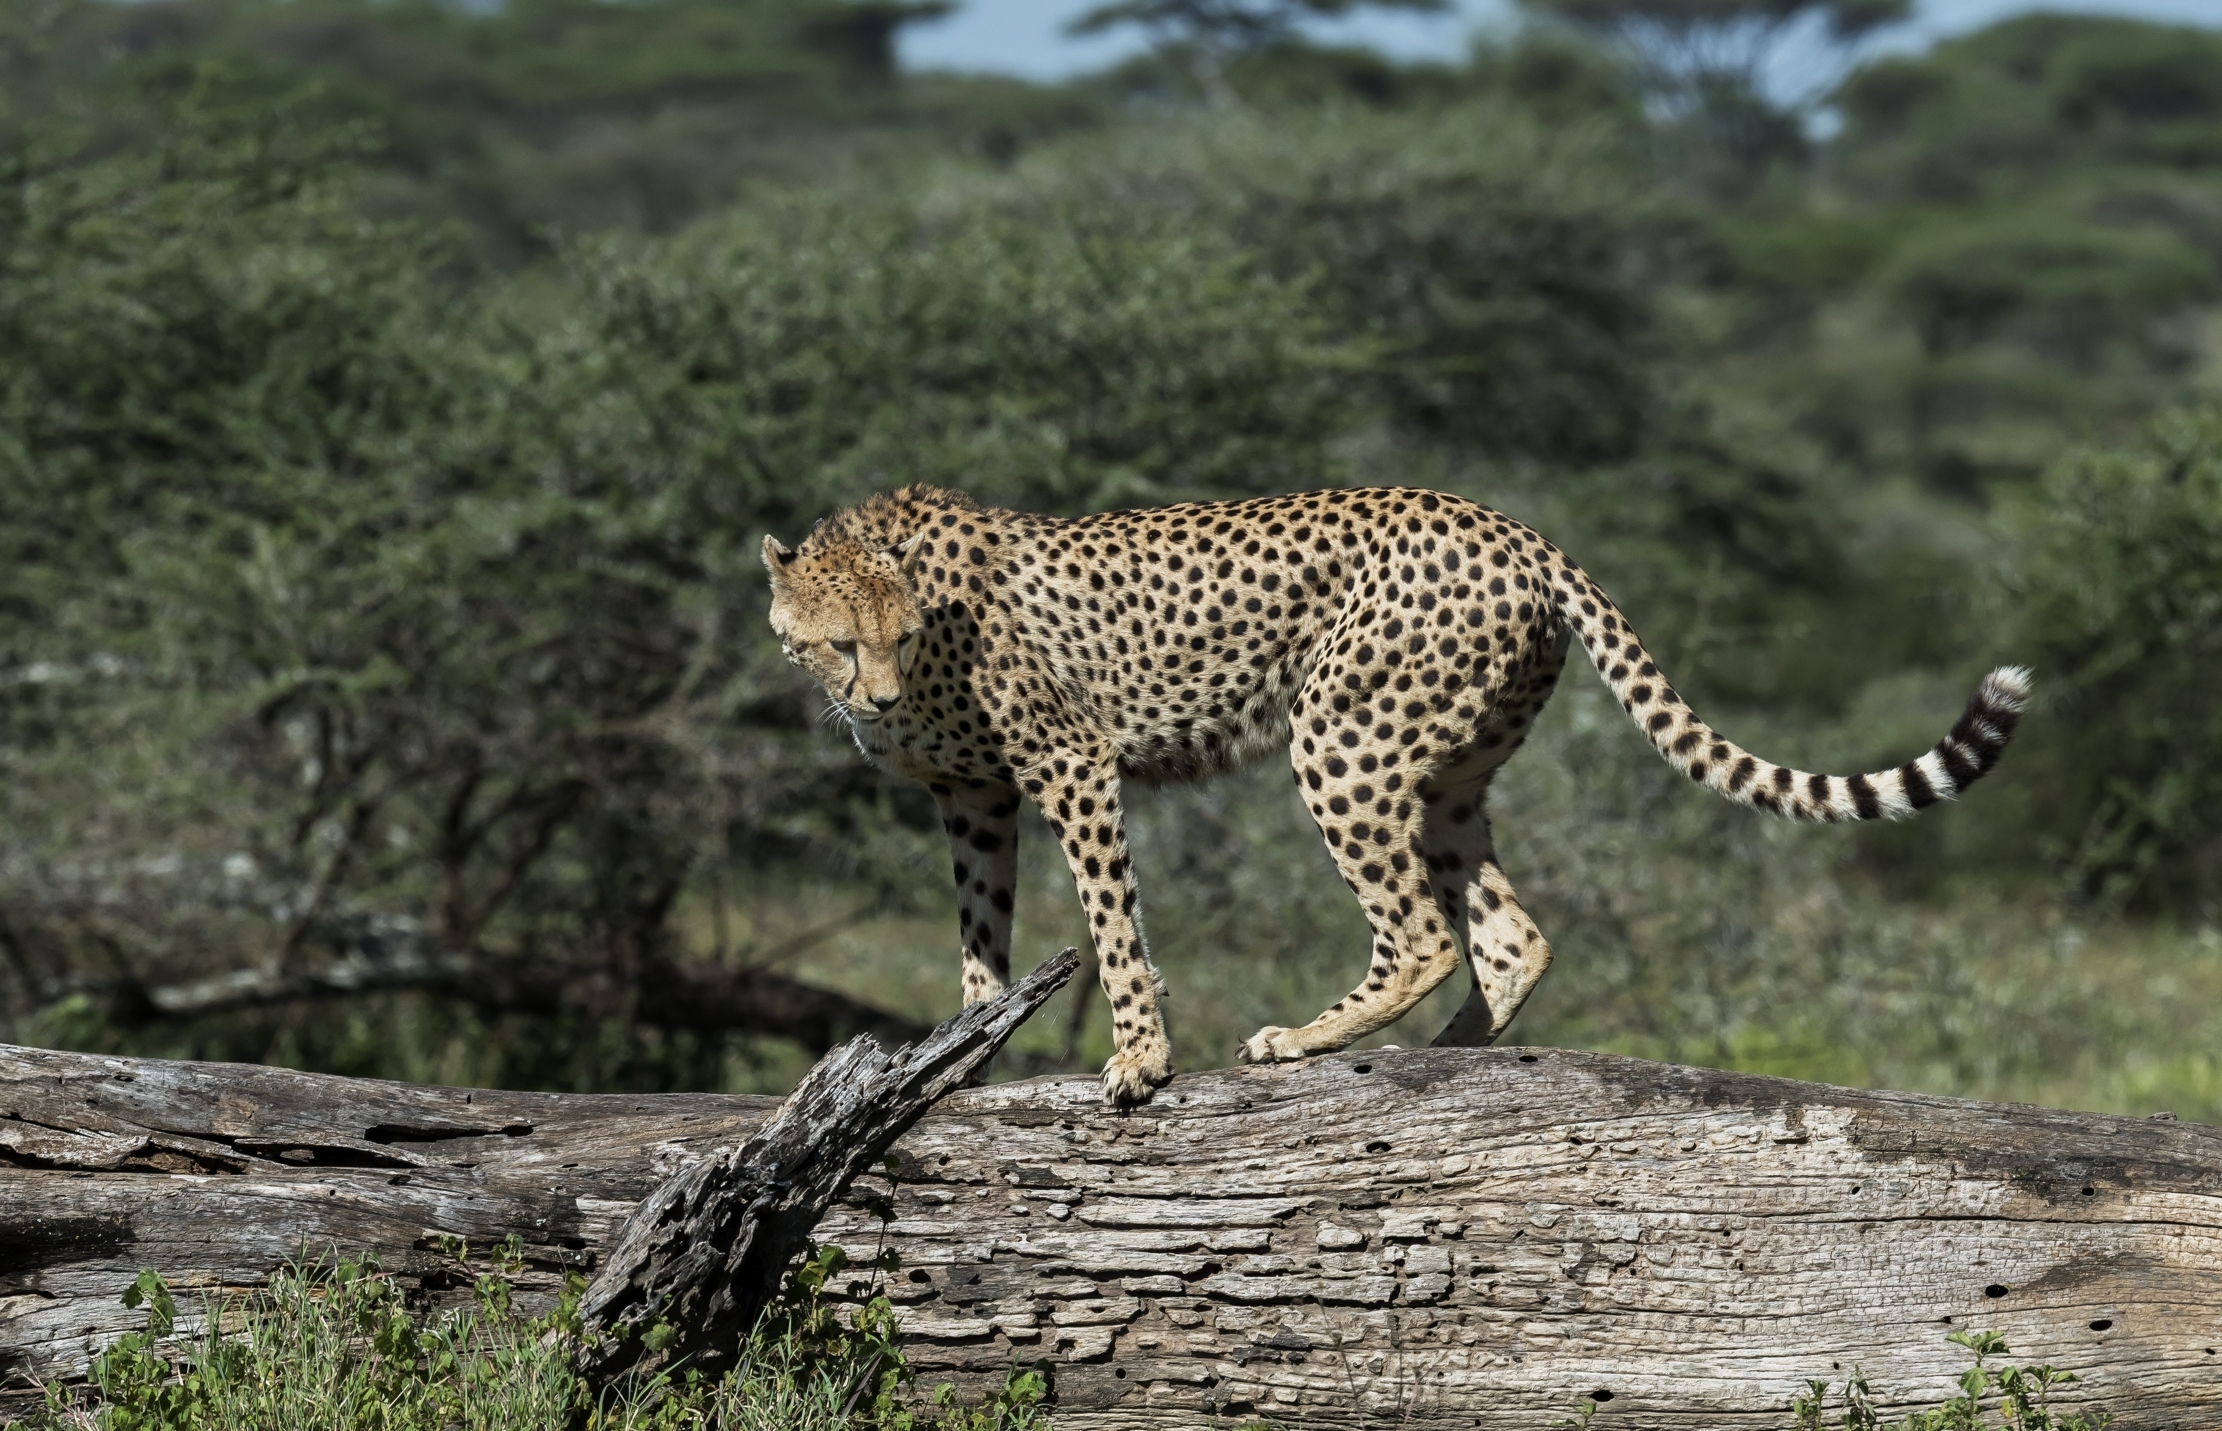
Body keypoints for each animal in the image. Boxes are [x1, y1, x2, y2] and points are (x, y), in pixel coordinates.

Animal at [764, 484, 2029, 1106]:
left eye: (898, 638)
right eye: (836, 644)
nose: (875, 697)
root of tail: (1502, 521)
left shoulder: (1070, 764)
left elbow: (1112, 926)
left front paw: (1137, 1060)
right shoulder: (969, 794)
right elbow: (979, 931)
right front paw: (962, 1049)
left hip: (1337, 735)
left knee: (1420, 930)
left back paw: (1306, 1039)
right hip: (1446, 768)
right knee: (1508, 932)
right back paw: (1454, 1055)